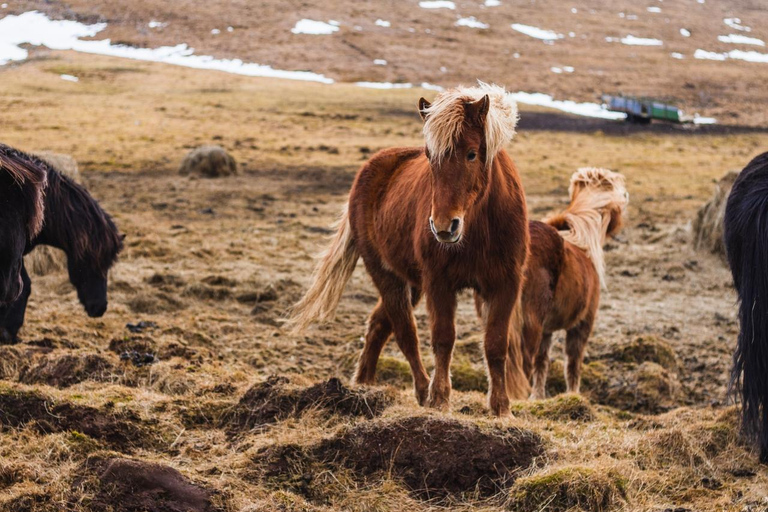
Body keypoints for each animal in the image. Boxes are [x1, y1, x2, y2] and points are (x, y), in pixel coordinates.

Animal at [289, 82, 530, 415]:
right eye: (429, 157)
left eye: (471, 154)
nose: (444, 227)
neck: (478, 229)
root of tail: (371, 168)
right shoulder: (439, 283)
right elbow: (443, 339)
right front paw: (439, 399)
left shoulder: (506, 283)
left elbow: (495, 344)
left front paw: (501, 408)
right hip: (387, 276)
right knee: (405, 334)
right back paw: (420, 390)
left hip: (412, 283)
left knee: (379, 324)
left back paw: (364, 382)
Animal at [477, 167, 628, 398]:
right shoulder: (582, 325)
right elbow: (573, 365)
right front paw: (573, 396)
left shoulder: (546, 331)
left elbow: (542, 363)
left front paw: (538, 397)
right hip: (530, 324)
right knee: (522, 364)